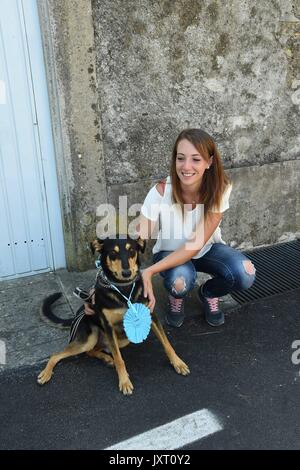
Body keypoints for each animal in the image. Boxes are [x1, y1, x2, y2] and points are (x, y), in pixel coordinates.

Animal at [36, 235, 189, 392]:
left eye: (131, 250)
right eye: (113, 253)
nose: (127, 273)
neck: (123, 288)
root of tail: (77, 315)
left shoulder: (150, 316)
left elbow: (167, 343)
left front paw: (178, 363)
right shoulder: (109, 326)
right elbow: (120, 359)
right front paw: (124, 381)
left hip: (122, 339)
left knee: (95, 350)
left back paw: (107, 359)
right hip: (89, 339)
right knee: (57, 355)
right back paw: (45, 374)